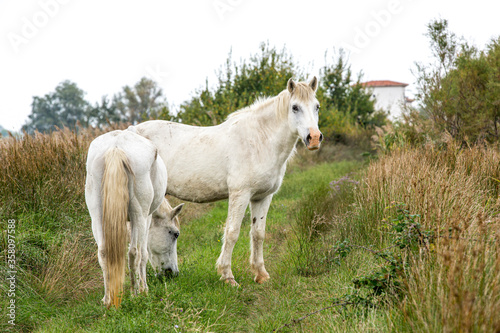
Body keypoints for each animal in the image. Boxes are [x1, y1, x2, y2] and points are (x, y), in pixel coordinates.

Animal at [85, 130, 184, 306]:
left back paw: (108, 299)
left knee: (103, 252)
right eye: (175, 234)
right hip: (139, 215)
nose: (172, 272)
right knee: (134, 253)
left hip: (96, 215)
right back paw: (135, 294)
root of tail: (116, 147)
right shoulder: (147, 218)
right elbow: (144, 254)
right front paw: (144, 289)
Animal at [131, 78, 322, 286]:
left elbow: (258, 233)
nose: (314, 138)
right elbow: (232, 232)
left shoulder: (263, 197)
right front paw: (227, 276)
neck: (259, 140)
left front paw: (261, 274)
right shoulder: (240, 194)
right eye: (295, 107)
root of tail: (130, 132)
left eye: (317, 106)